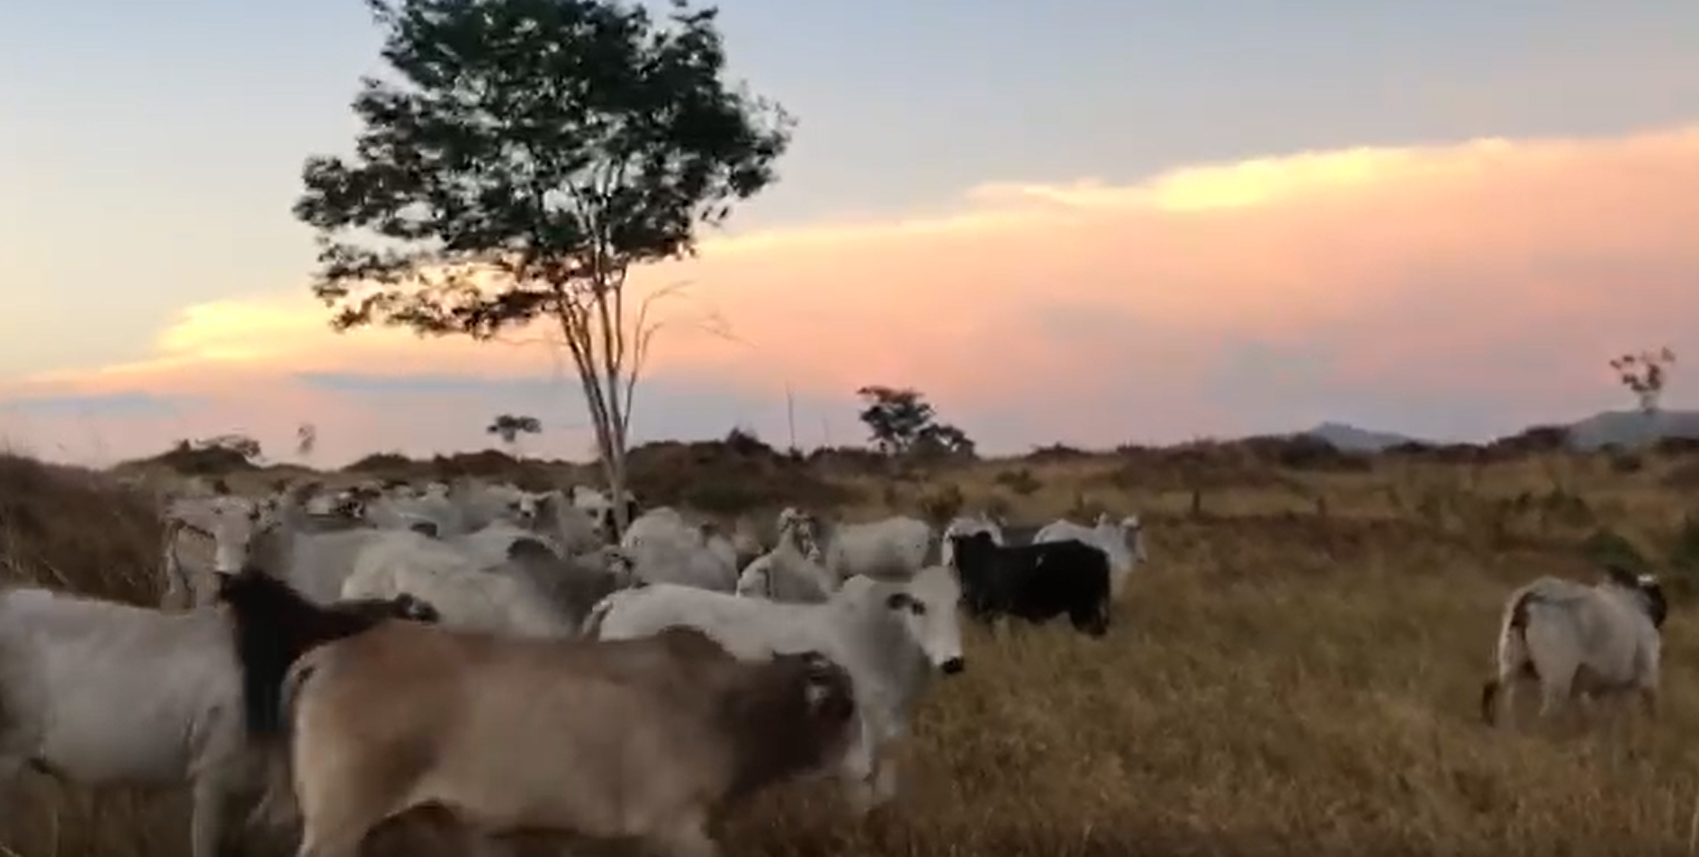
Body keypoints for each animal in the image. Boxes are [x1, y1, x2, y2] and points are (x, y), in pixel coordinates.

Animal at [1481, 564, 1665, 727]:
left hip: (1512, 659)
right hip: (1557, 677)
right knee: (1546, 714)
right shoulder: (1641, 679)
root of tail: (1531, 595)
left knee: (1494, 688)